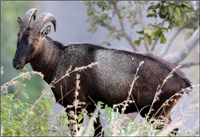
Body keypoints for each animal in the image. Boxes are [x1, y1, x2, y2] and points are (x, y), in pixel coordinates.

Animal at [13, 8, 191, 136]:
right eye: (18, 36)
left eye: (35, 39)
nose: (16, 62)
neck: (59, 60)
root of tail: (184, 81)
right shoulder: (92, 107)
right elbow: (99, 132)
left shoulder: (75, 106)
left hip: (156, 113)